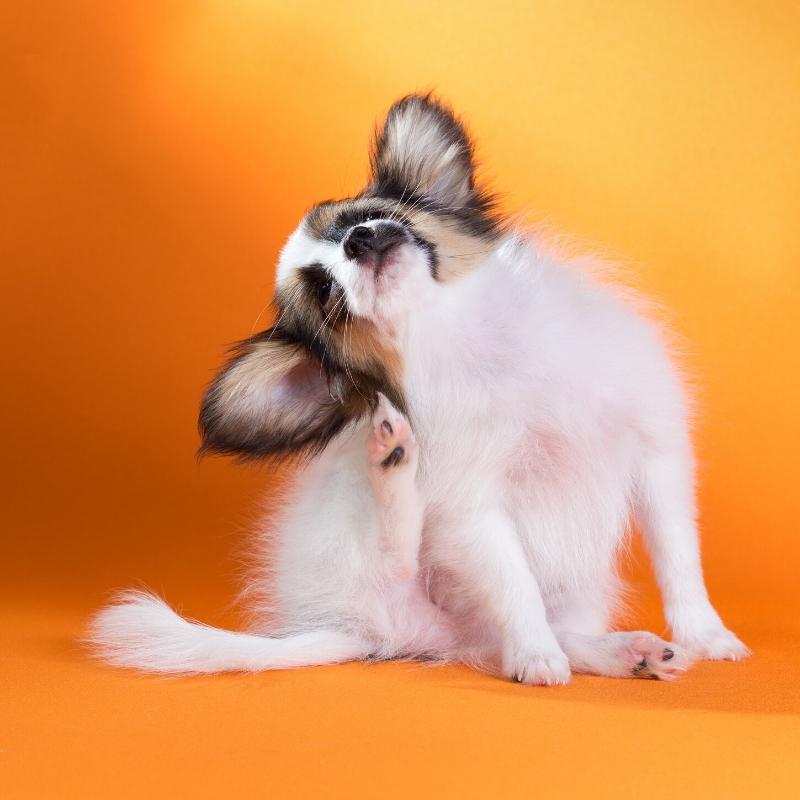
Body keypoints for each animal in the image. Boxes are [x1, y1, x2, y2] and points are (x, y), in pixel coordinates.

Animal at [92, 92, 752, 680]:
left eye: (368, 217)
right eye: (327, 295)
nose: (361, 239)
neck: (470, 339)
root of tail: (364, 631)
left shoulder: (657, 453)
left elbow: (678, 558)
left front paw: (705, 636)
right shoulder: (471, 509)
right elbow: (514, 582)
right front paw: (537, 657)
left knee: (545, 632)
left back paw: (625, 654)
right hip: (357, 535)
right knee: (398, 555)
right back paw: (393, 460)